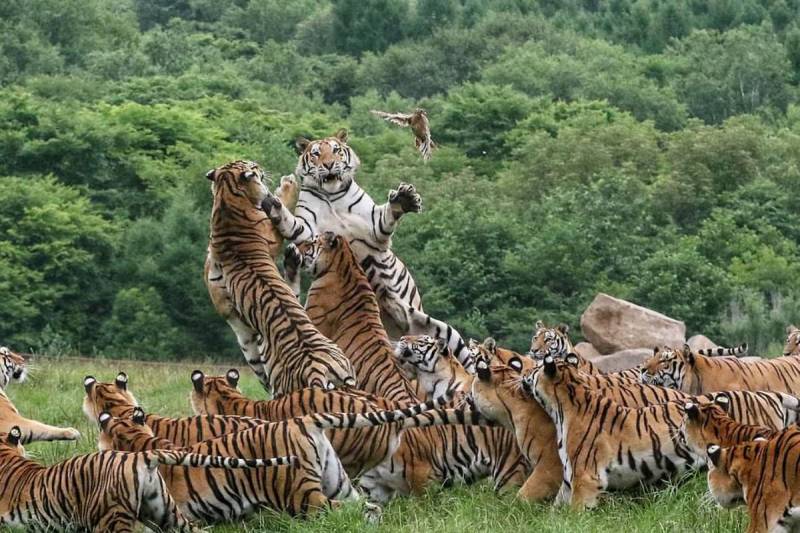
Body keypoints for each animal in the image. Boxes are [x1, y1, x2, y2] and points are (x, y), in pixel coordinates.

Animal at [206, 159, 356, 394]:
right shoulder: (272, 237)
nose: (259, 166)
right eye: (252, 166)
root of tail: (317, 369)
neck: (226, 198)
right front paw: (288, 185)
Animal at [260, 129, 474, 372]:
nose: (329, 164)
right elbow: (291, 223)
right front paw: (274, 203)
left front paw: (404, 198)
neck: (331, 195)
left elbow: (387, 215)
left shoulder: (374, 227)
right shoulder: (307, 227)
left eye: (335, 150)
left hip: (446, 333)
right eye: (316, 154)